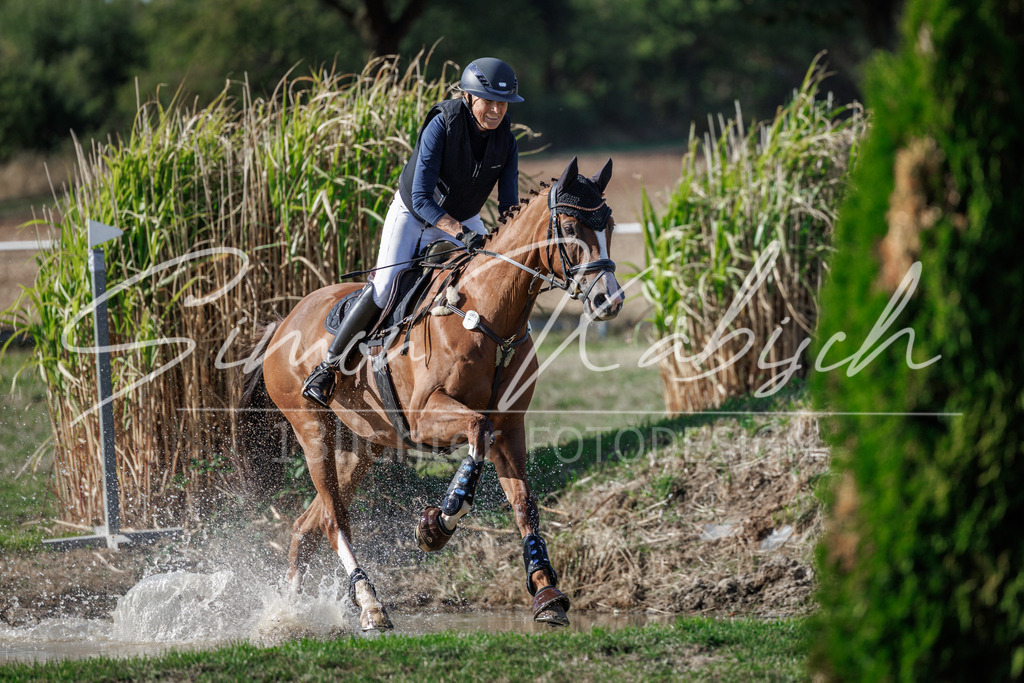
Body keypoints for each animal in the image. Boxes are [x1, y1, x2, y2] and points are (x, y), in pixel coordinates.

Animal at [240, 156, 624, 630]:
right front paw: (437, 525)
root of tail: (283, 323)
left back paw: (289, 613)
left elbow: (524, 505)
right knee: (333, 519)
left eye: (609, 225)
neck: (490, 317)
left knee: (307, 526)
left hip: (361, 445)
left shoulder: (510, 427)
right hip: (313, 431)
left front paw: (547, 592)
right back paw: (369, 604)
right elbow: (476, 433)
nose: (609, 301)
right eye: (570, 226)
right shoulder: (430, 416)